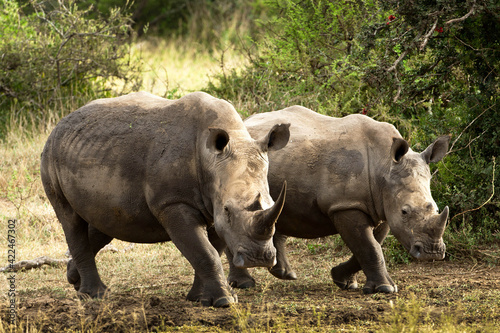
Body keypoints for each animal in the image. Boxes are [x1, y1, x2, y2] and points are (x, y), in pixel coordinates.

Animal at [41, 91, 292, 306]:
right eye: (228, 210)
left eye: (273, 205)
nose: (258, 258)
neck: (211, 160)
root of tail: (60, 123)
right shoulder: (173, 203)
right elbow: (206, 252)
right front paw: (224, 301)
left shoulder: (212, 206)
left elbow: (210, 249)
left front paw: (198, 299)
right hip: (50, 155)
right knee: (70, 220)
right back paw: (95, 296)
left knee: (105, 222)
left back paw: (74, 280)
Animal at [229, 106, 452, 294]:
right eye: (405, 211)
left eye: (435, 208)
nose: (432, 252)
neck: (384, 165)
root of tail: (246, 120)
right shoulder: (346, 205)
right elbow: (369, 246)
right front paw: (385, 289)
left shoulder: (381, 206)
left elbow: (372, 244)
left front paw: (344, 281)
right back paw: (244, 284)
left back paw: (285, 274)